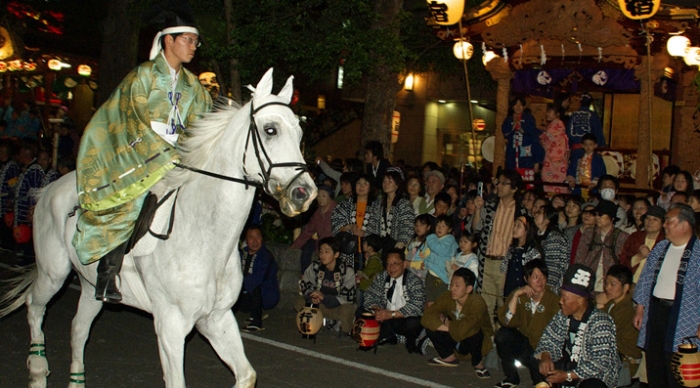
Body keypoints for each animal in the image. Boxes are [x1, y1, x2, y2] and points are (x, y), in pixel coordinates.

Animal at [0, 69, 316, 388]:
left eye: (300, 135)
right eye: (270, 130)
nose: (304, 193)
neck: (206, 238)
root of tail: (50, 187)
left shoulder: (216, 318)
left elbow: (246, 375)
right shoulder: (170, 325)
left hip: (90, 287)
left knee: (78, 329)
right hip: (53, 273)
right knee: (34, 305)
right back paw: (37, 370)